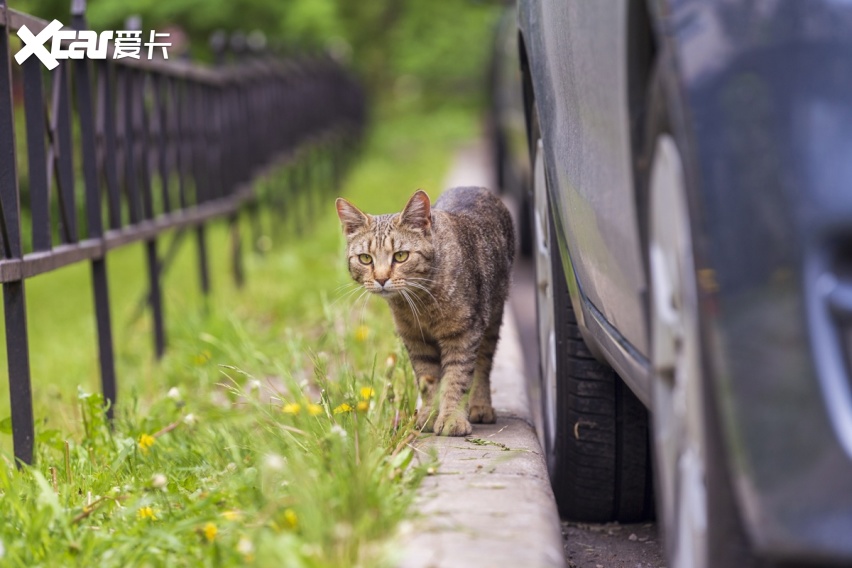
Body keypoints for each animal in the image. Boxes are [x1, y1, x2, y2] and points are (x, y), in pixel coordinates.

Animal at [336, 189, 516, 438]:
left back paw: (480, 405)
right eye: (365, 258)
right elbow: (428, 380)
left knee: (482, 364)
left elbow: (456, 378)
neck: (420, 303)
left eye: (401, 256)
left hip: (492, 318)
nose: (381, 279)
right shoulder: (415, 339)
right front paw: (431, 414)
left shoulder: (463, 334)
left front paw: (451, 418)